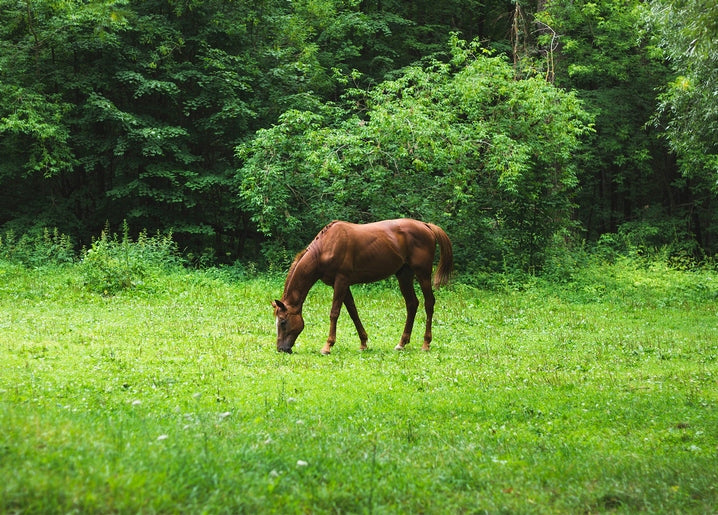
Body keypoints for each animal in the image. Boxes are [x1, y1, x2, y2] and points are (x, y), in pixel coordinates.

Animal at [272, 218, 452, 354]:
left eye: (283, 322)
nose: (281, 349)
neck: (325, 247)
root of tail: (426, 226)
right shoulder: (342, 285)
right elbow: (353, 312)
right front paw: (363, 342)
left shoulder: (341, 281)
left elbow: (334, 313)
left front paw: (327, 346)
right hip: (404, 275)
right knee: (412, 304)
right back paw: (401, 343)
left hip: (423, 274)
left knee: (429, 303)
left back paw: (426, 343)